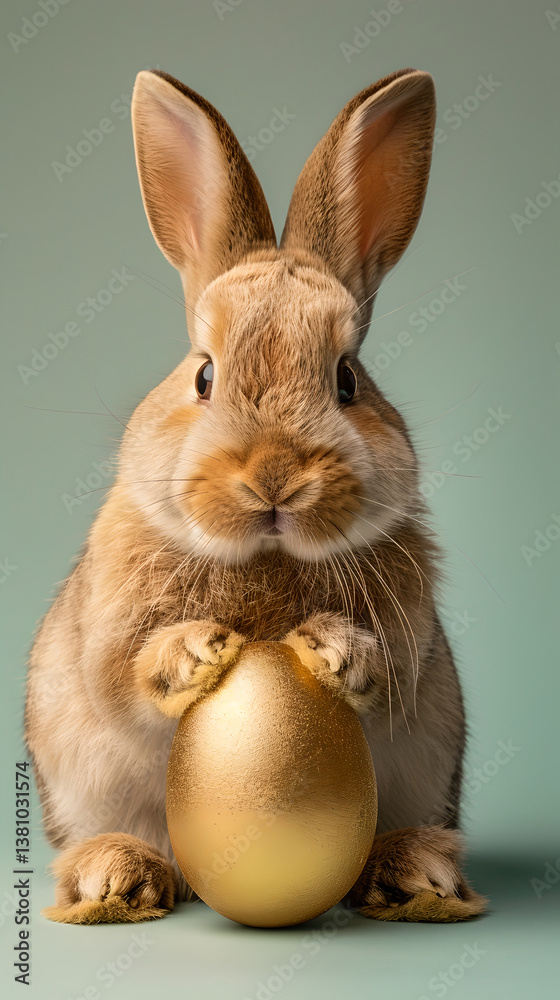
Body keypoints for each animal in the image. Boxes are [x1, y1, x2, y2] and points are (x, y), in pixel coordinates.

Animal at [26, 67, 487, 924]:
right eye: (203, 375)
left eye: (348, 380)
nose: (275, 475)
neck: (266, 556)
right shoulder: (107, 638)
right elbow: (125, 676)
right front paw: (197, 650)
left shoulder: (412, 649)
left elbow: (385, 674)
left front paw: (336, 650)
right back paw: (117, 882)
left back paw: (415, 878)